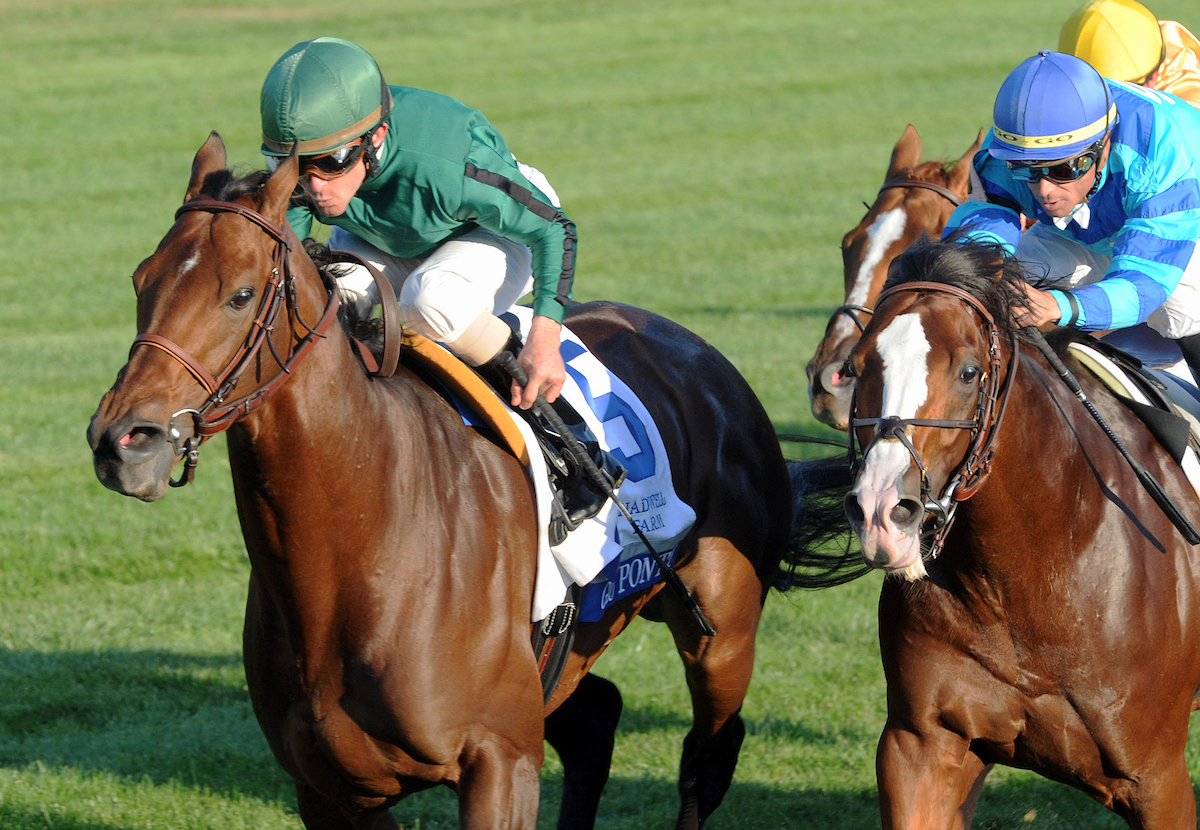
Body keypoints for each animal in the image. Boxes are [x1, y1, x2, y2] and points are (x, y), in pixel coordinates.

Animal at [87, 133, 796, 825]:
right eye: (140, 280)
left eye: (238, 295)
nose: (123, 442)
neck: (362, 544)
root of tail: (704, 356)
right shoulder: (330, 791)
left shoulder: (501, 760)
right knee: (597, 720)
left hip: (722, 631)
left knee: (707, 756)